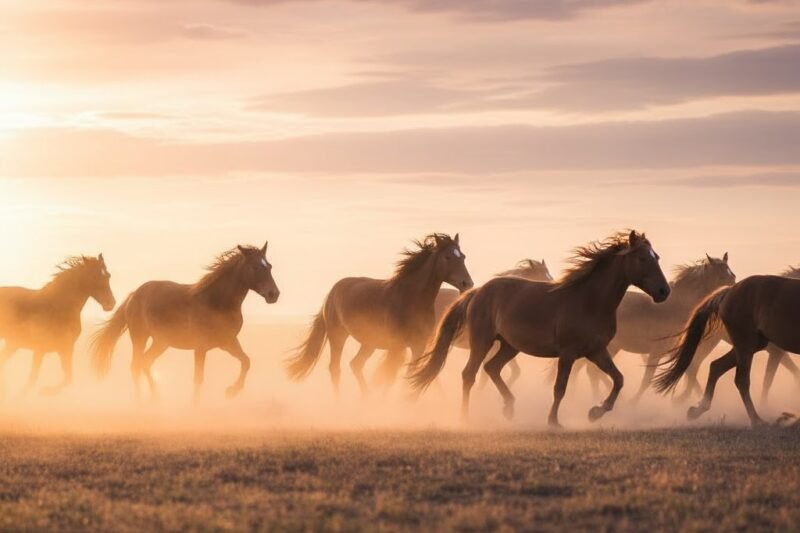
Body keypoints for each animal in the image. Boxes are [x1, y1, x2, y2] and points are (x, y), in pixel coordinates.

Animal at [0, 255, 115, 397]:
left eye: (108, 276)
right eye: (94, 277)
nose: (111, 303)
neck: (58, 307)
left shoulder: (66, 350)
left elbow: (68, 379)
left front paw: (46, 391)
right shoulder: (40, 350)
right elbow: (32, 379)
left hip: (13, 344)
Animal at [91, 242, 279, 399]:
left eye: (269, 266)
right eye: (255, 267)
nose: (274, 294)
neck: (216, 302)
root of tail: (133, 295)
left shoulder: (228, 342)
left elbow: (246, 361)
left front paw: (231, 390)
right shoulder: (200, 347)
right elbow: (198, 379)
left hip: (161, 342)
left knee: (145, 362)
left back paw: (155, 396)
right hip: (139, 337)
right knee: (135, 366)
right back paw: (140, 402)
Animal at [286, 233, 473, 395]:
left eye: (463, 257)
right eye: (447, 257)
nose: (467, 283)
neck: (411, 299)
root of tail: (332, 292)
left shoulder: (418, 346)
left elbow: (410, 374)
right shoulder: (396, 346)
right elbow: (390, 376)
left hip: (369, 343)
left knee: (355, 364)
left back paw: (366, 398)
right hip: (338, 336)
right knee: (335, 369)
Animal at [579, 253, 735, 403]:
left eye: (731, 274)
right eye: (721, 276)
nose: (734, 287)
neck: (674, 308)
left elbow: (688, 372)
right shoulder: (657, 351)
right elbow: (648, 379)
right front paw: (633, 403)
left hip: (612, 347)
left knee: (593, 372)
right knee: (592, 372)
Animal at [654, 275, 800, 427]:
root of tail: (728, 292)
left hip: (751, 345)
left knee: (716, 366)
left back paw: (697, 411)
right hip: (745, 344)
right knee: (741, 380)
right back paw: (756, 420)